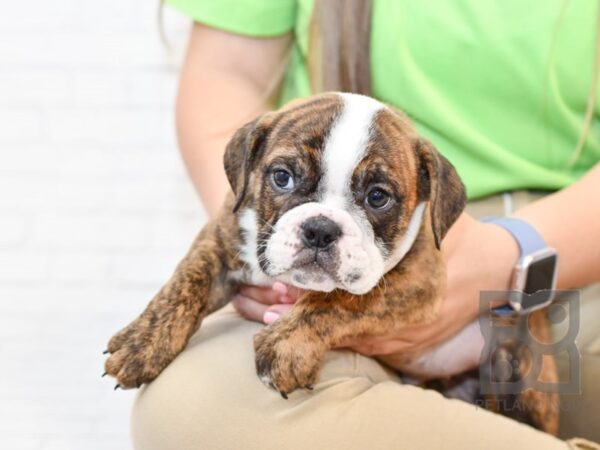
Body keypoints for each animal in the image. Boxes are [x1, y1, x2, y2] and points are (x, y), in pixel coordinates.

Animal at [103, 91, 556, 432]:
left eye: (378, 196)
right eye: (282, 177)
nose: (320, 229)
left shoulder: (417, 282)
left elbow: (339, 301)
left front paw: (286, 345)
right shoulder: (220, 238)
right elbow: (185, 283)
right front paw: (142, 342)